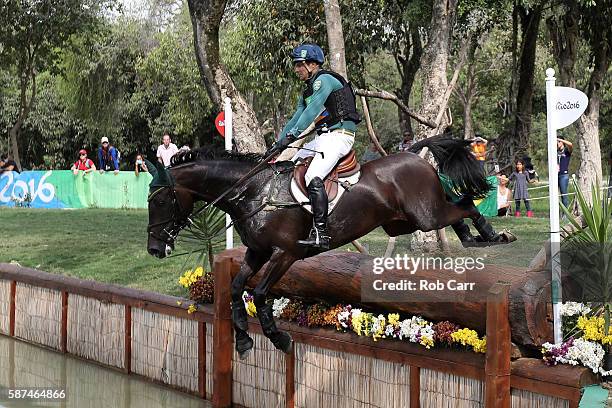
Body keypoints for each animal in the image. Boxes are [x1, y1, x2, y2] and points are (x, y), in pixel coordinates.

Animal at [146, 135, 512, 358]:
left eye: (160, 200)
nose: (154, 250)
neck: (253, 192)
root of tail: (412, 152)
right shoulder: (257, 252)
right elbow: (237, 288)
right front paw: (244, 340)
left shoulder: (286, 253)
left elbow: (261, 294)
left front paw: (278, 338)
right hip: (404, 221)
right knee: (456, 207)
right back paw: (474, 237)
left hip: (424, 215)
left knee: (463, 203)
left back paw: (494, 236)